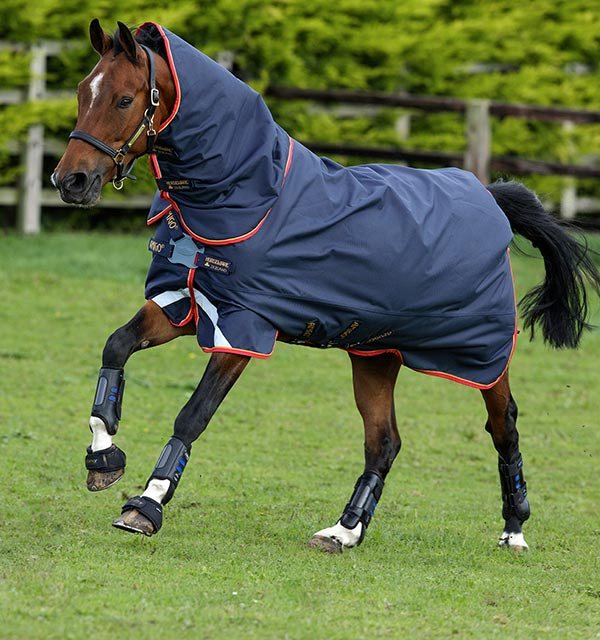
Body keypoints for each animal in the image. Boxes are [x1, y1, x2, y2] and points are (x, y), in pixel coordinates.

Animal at [52, 17, 600, 552]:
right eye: (82, 92)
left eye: (124, 99)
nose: (70, 181)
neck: (248, 195)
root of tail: (488, 195)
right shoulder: (184, 304)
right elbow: (116, 346)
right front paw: (104, 459)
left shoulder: (242, 330)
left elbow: (192, 415)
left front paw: (145, 505)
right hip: (376, 354)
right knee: (384, 442)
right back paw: (344, 530)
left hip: (481, 357)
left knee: (503, 426)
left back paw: (514, 527)